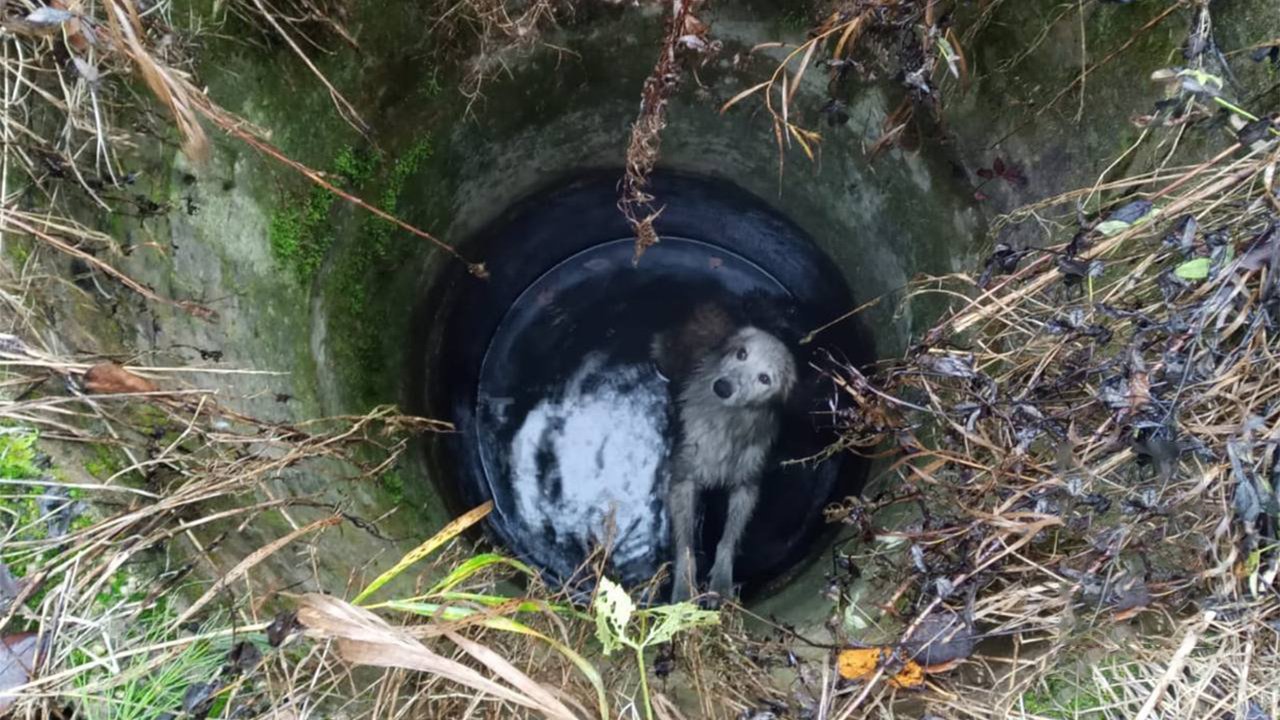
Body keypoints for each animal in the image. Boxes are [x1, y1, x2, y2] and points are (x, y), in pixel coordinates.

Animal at [655, 301, 793, 599]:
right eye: (742, 354)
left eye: (765, 378)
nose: (723, 386)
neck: (724, 424)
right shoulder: (683, 479)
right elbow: (686, 546)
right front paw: (684, 588)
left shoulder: (747, 485)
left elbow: (729, 539)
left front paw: (720, 581)